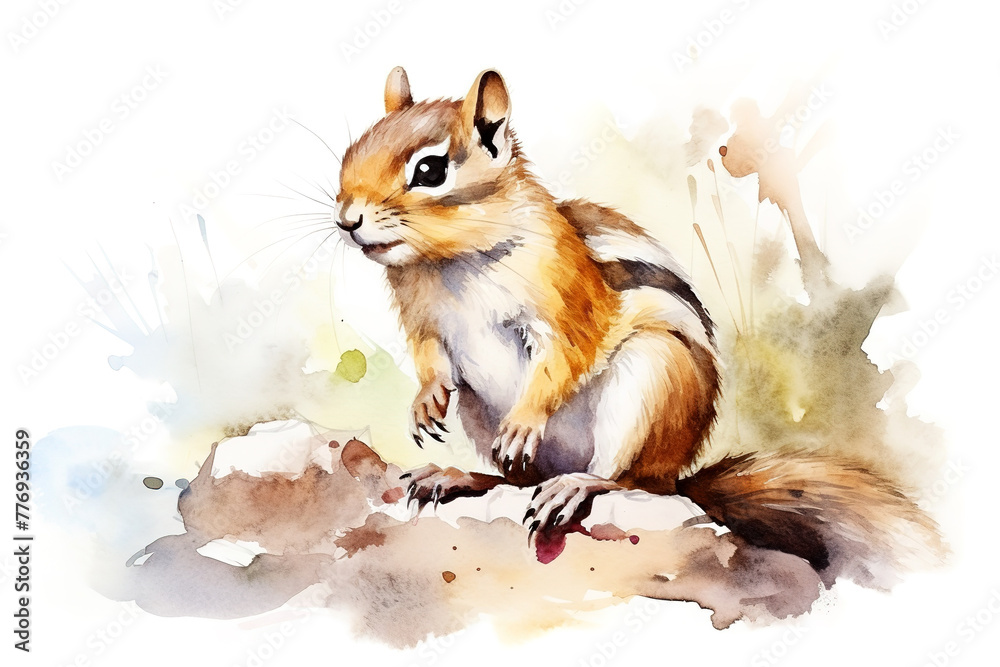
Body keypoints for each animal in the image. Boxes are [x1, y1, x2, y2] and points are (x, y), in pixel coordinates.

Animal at [333, 67, 939, 577]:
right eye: (351, 152)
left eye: (429, 170)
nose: (347, 220)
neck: (450, 263)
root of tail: (677, 479)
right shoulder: (425, 323)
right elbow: (431, 359)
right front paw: (426, 400)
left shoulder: (564, 302)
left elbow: (564, 357)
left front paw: (526, 418)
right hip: (482, 414)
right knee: (515, 477)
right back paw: (456, 476)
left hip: (651, 380)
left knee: (619, 479)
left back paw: (576, 484)